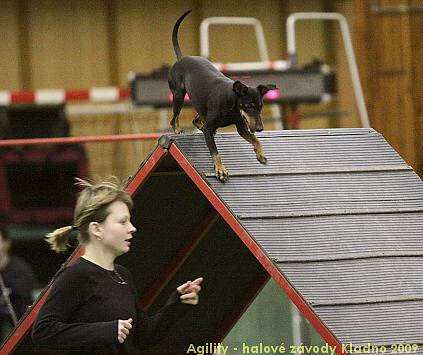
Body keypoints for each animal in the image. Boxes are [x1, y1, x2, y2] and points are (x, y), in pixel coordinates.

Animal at [169, 10, 278, 184]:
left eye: (260, 106)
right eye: (249, 106)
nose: (260, 128)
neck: (231, 103)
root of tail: (182, 59)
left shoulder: (241, 127)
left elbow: (255, 139)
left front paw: (260, 154)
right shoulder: (211, 127)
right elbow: (215, 151)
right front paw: (221, 170)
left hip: (199, 105)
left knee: (196, 120)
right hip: (178, 95)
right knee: (174, 118)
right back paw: (178, 129)